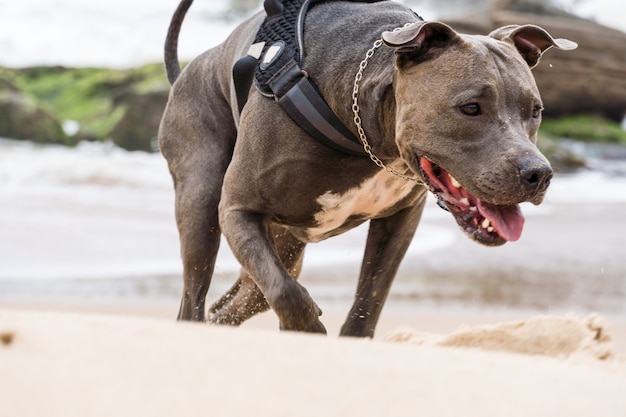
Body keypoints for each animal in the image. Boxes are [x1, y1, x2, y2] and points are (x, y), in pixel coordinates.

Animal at [160, 0, 576, 334]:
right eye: (471, 107)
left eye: (535, 111)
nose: (539, 174)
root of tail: (189, 69)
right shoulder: (238, 209)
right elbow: (286, 292)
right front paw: (308, 329)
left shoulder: (400, 220)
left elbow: (369, 299)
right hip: (201, 202)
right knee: (196, 298)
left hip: (283, 246)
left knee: (237, 302)